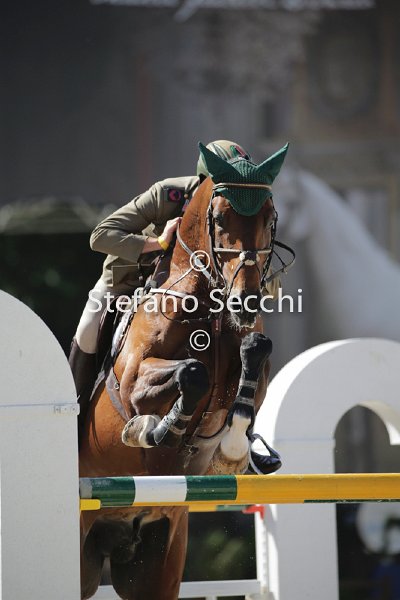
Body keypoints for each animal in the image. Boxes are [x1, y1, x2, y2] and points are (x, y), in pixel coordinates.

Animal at [79, 142, 291, 600]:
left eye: (270, 216)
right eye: (220, 218)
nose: (246, 301)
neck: (208, 301)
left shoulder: (251, 358)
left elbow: (254, 355)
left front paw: (234, 450)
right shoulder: (134, 380)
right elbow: (191, 373)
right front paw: (152, 429)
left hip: (158, 554)